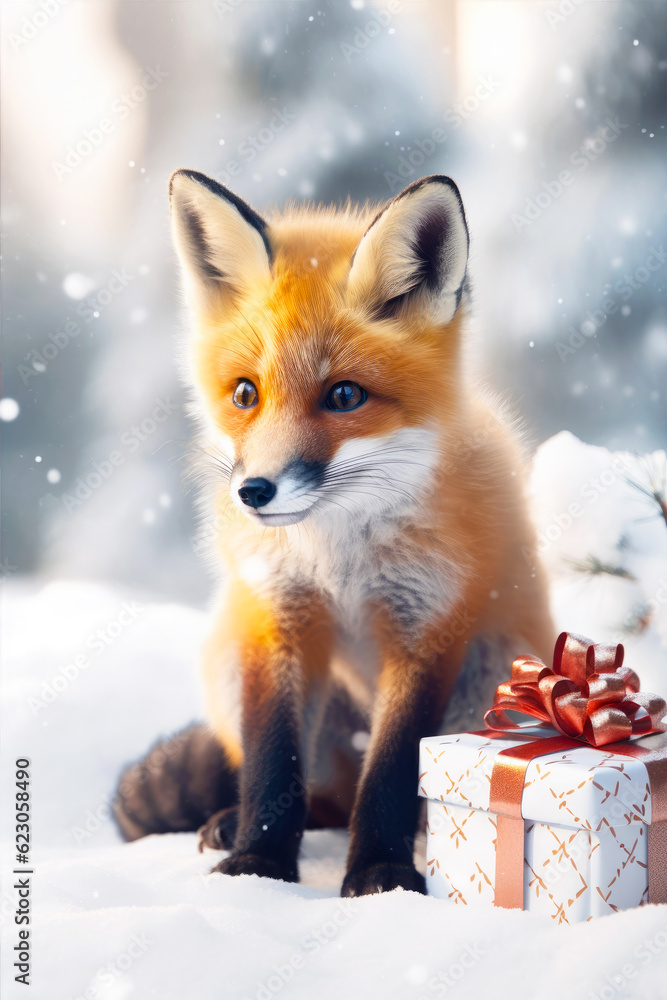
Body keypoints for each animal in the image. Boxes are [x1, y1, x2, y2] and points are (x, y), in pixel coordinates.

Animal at [114, 170, 555, 897]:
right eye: (245, 394)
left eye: (344, 396)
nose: (254, 492)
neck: (338, 557)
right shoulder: (278, 616)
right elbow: (272, 762)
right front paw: (258, 865)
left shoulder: (427, 625)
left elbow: (394, 771)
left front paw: (382, 874)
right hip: (231, 655)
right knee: (316, 798)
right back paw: (230, 823)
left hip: (496, 674)